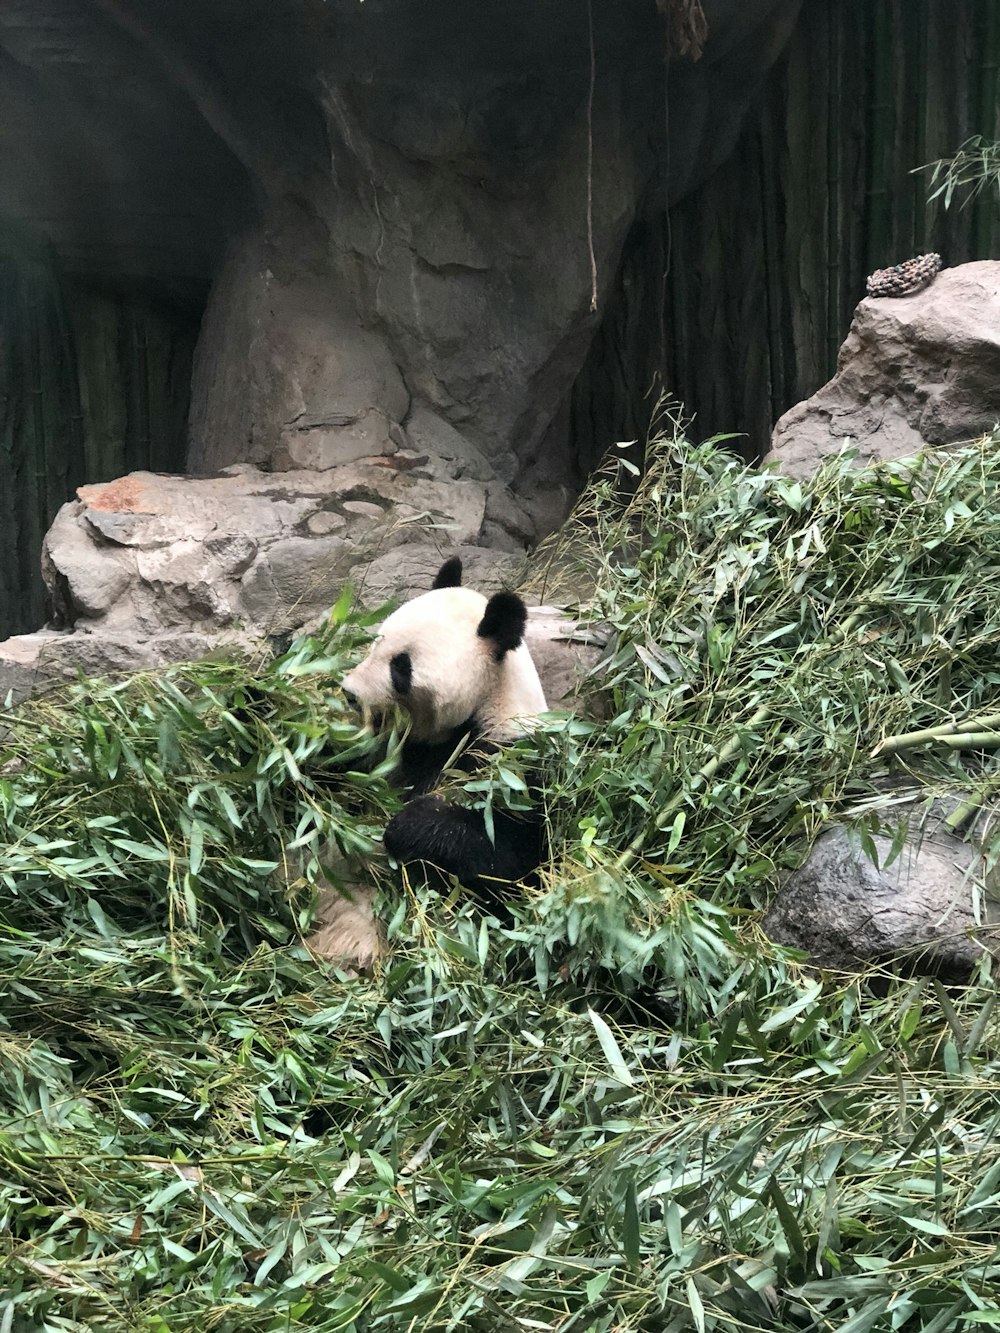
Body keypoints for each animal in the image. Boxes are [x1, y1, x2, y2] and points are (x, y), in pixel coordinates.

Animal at [344, 551, 549, 906]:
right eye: (375, 644)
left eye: (401, 667)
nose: (350, 693)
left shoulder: (514, 763)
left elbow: (514, 860)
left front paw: (407, 823)